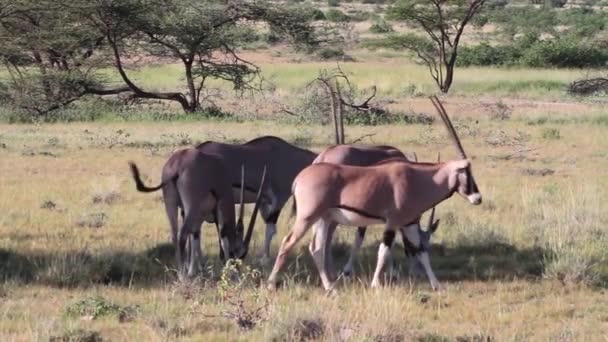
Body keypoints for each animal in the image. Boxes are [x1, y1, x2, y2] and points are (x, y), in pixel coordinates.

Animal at [128, 148, 266, 280]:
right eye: (237, 253)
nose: (237, 270)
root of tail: (178, 164)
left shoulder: (199, 216)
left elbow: (195, 236)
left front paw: (197, 271)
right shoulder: (221, 203)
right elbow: (222, 238)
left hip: (171, 204)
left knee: (175, 235)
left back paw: (182, 272)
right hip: (191, 208)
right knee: (182, 235)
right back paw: (182, 276)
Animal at [268, 96, 482, 292]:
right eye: (466, 171)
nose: (478, 198)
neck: (419, 179)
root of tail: (301, 177)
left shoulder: (409, 223)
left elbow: (421, 252)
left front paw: (436, 285)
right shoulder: (393, 222)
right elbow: (383, 251)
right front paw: (376, 284)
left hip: (323, 218)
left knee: (317, 248)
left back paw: (330, 287)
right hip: (307, 217)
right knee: (288, 242)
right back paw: (271, 284)